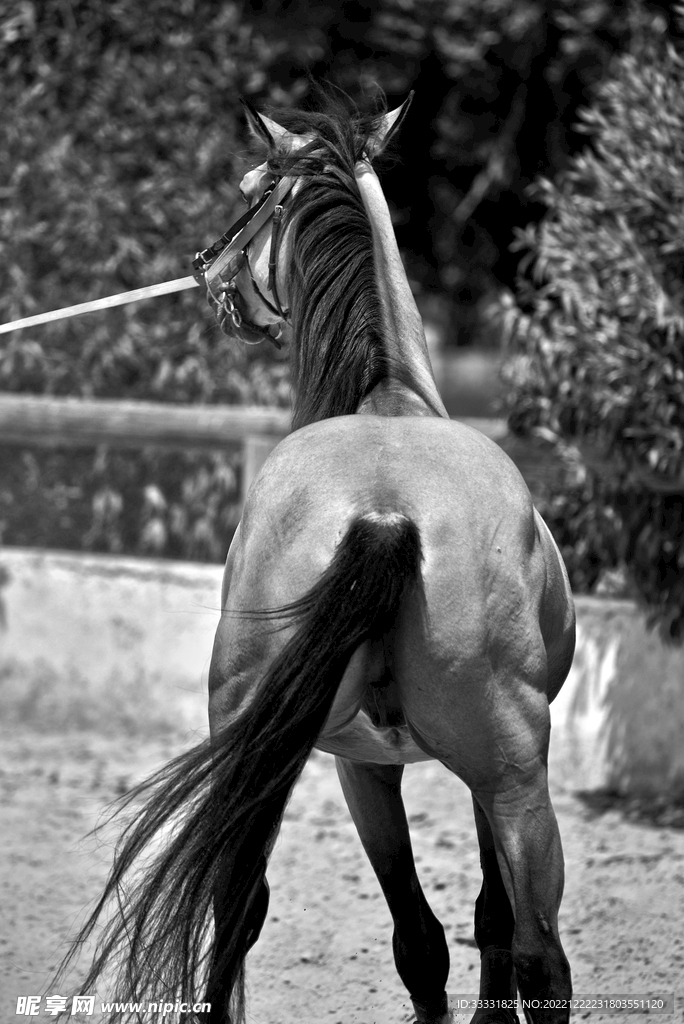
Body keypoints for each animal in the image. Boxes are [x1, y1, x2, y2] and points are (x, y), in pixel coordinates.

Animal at [63, 94, 576, 1024]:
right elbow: (467, 927)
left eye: (247, 185)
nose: (207, 267)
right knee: (531, 954)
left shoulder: (355, 763)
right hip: (512, 778)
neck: (387, 399)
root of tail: (384, 509)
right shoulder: (372, 766)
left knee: (241, 907)